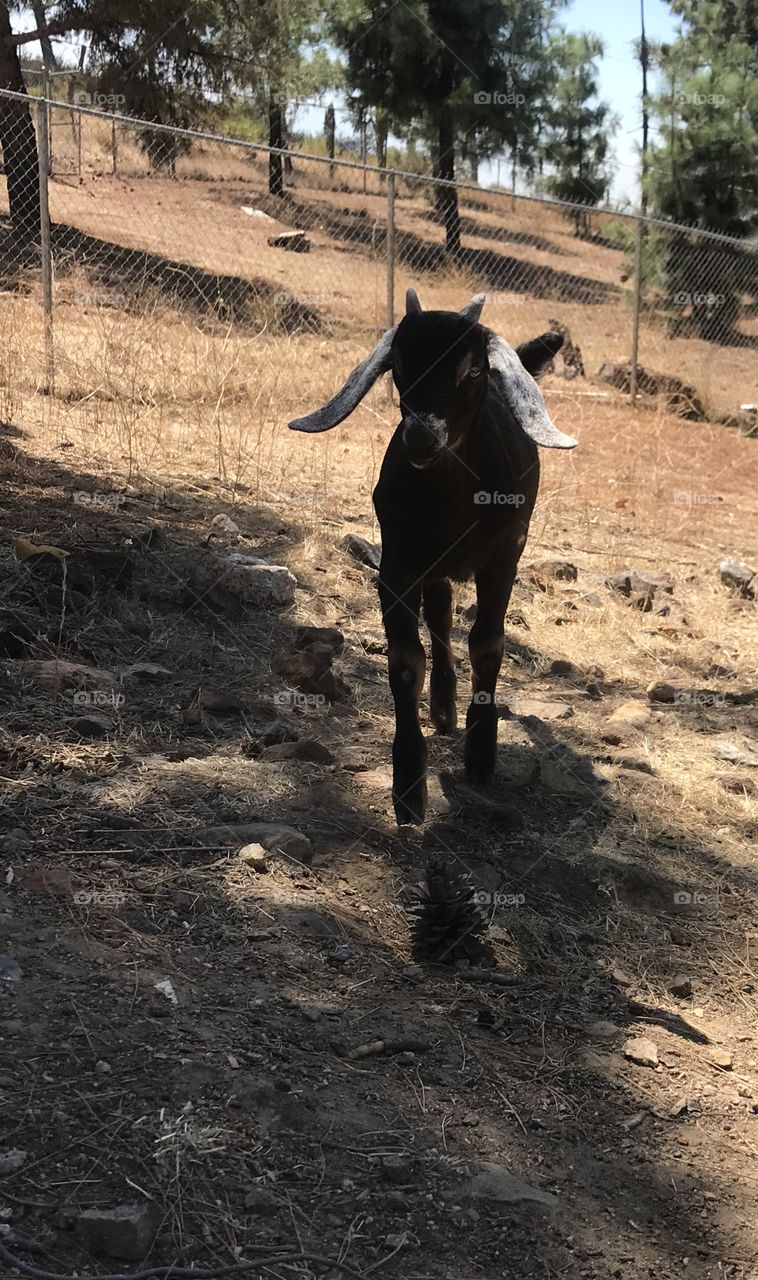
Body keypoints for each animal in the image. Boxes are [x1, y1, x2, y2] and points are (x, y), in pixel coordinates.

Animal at [289, 290, 577, 825]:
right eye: (399, 364)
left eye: (473, 369)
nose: (422, 436)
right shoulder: (398, 563)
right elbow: (407, 659)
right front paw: (408, 784)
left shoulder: (503, 558)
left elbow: (487, 644)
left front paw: (482, 753)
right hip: (433, 567)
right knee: (440, 613)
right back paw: (442, 706)